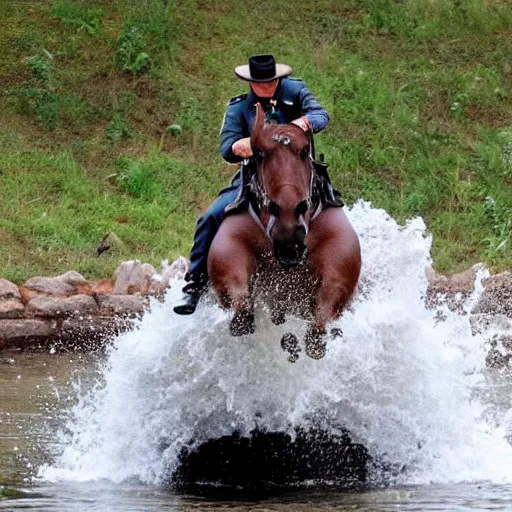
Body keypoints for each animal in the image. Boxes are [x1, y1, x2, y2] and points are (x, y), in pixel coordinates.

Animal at [207, 103, 360, 360]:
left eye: (305, 151)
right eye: (259, 154)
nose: (289, 231)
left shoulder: (340, 261)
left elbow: (321, 320)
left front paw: (305, 342)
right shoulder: (229, 248)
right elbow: (239, 303)